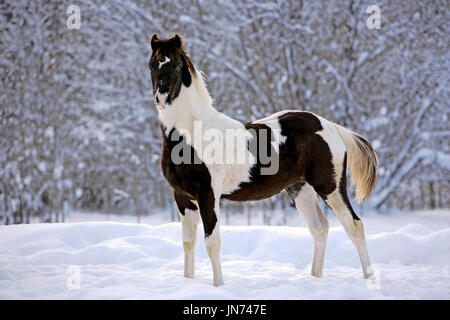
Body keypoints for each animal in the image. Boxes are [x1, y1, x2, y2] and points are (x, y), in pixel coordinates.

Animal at [149, 35, 378, 288]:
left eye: (176, 65)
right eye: (152, 65)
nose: (162, 98)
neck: (192, 133)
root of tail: (330, 127)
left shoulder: (208, 195)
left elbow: (212, 243)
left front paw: (219, 286)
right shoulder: (183, 198)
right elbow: (188, 242)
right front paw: (188, 282)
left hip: (330, 187)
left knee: (354, 226)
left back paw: (369, 279)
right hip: (300, 189)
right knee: (319, 229)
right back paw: (315, 277)